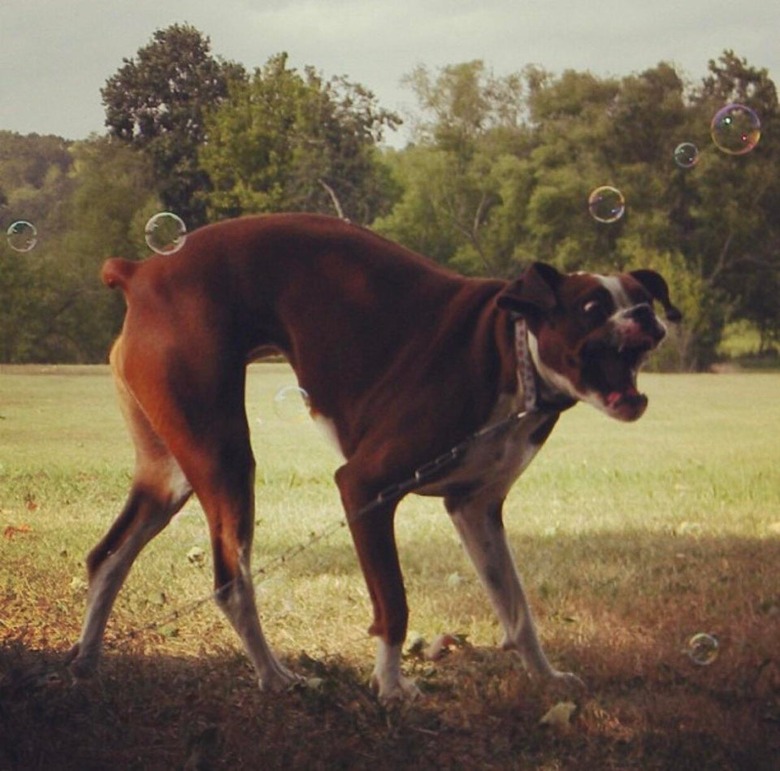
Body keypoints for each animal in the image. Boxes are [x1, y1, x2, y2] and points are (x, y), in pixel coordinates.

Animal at [68, 214, 676, 704]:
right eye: (592, 307)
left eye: (639, 296)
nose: (647, 314)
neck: (510, 348)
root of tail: (142, 270)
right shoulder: (365, 488)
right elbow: (394, 603)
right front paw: (390, 686)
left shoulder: (475, 510)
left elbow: (517, 608)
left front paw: (545, 678)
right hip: (224, 459)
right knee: (229, 580)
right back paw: (275, 678)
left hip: (169, 475)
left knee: (107, 557)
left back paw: (86, 662)